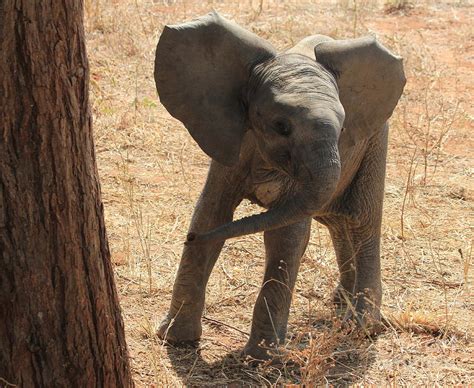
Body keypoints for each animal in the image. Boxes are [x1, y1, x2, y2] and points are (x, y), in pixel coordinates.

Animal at [154, 11, 406, 360]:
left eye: (343, 128)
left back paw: (361, 326)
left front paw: (260, 358)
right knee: (336, 222)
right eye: (281, 126)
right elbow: (211, 215)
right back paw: (340, 302)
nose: (187, 239)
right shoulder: (234, 145)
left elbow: (286, 236)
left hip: (375, 141)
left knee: (361, 222)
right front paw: (175, 339)